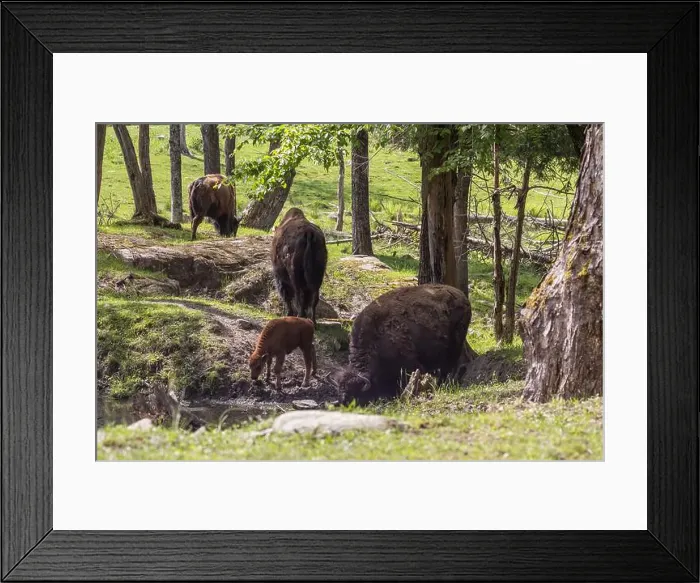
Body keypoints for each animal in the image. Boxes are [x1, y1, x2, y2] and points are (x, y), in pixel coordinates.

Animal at [332, 284, 473, 404]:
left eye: (354, 393)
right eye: (340, 389)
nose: (342, 402)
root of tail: (462, 296)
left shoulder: (410, 363)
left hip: (456, 342)